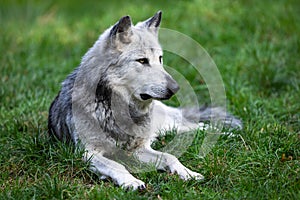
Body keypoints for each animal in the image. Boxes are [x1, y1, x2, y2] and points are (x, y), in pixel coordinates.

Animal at [48, 11, 243, 191]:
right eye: (142, 60)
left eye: (160, 59)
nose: (176, 88)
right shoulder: (88, 153)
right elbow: (117, 165)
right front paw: (131, 181)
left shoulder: (137, 149)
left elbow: (170, 156)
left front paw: (188, 173)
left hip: (166, 123)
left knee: (196, 125)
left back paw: (227, 134)